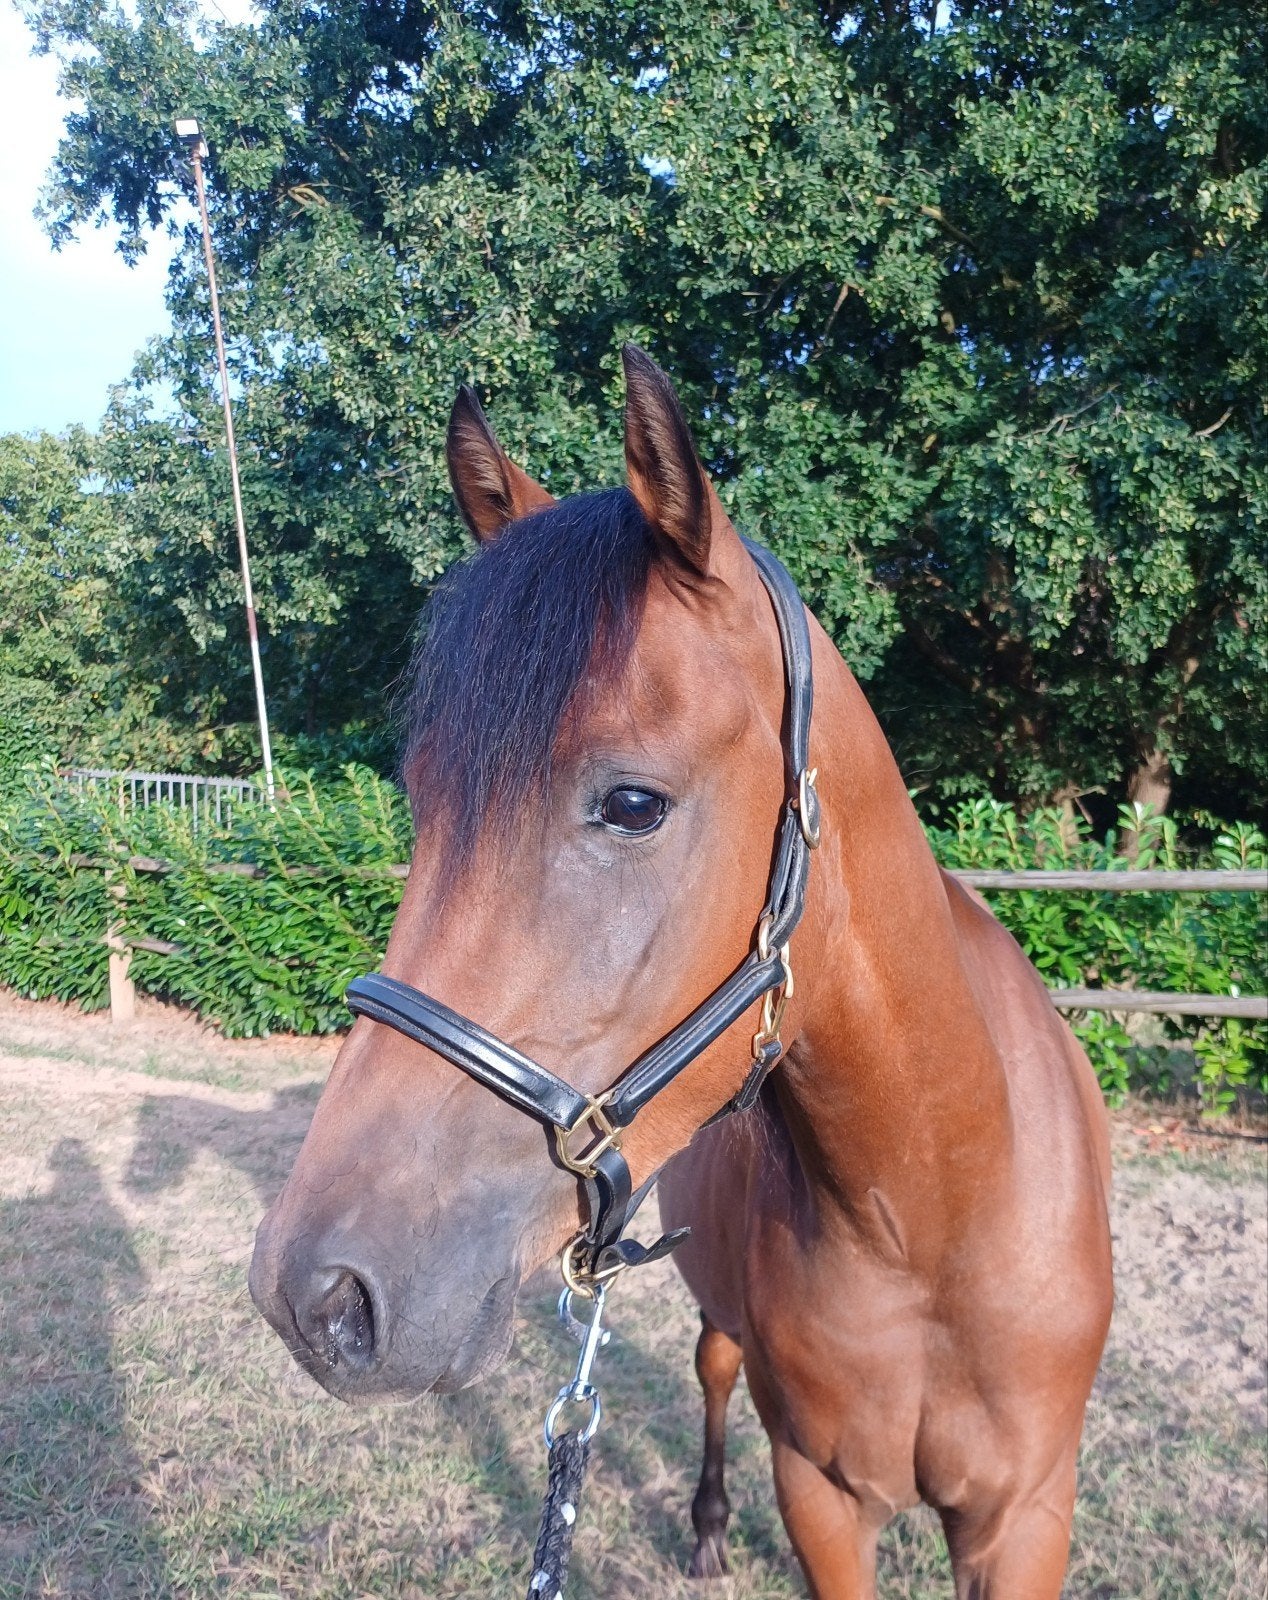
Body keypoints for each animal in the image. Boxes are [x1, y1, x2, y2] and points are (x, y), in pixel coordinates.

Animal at [249, 345, 1113, 1598]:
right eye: (420, 796)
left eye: (631, 803)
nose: (313, 1294)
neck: (933, 1210)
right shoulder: (820, 1497)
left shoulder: (1025, 1515)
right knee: (711, 1366)